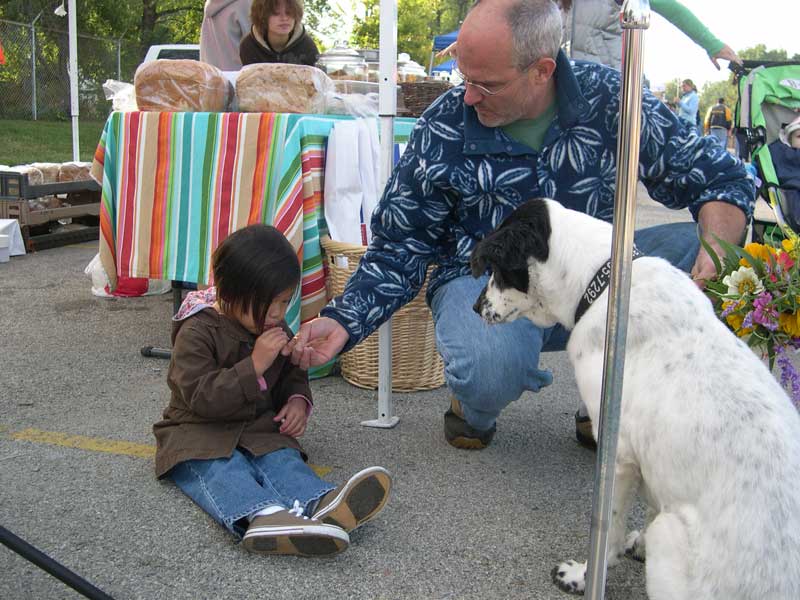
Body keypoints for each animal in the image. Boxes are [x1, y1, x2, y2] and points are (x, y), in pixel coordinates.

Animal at [468, 198, 800, 600]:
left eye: (497, 271)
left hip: (669, 534)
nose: (475, 306)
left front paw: (583, 576)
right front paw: (635, 546)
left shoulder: (619, 456)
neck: (602, 285)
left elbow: (607, 532)